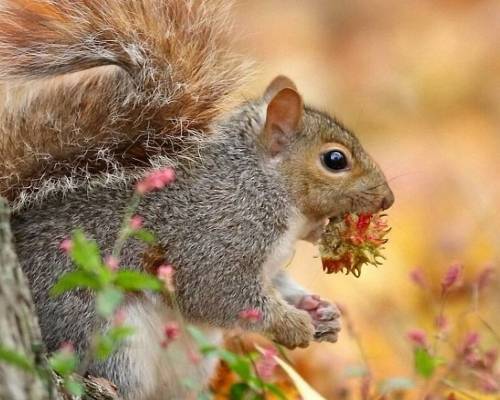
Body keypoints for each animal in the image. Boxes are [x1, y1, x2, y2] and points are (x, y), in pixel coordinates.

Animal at [0, 0, 394, 400]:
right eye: (335, 160)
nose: (388, 199)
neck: (262, 185)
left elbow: (279, 283)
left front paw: (319, 310)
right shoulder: (217, 234)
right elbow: (219, 293)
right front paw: (293, 324)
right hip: (104, 332)